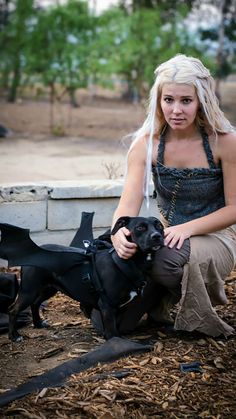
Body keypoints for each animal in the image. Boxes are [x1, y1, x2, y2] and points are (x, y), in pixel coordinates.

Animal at [0, 218, 164, 342]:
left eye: (160, 226)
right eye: (140, 227)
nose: (157, 236)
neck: (125, 262)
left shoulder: (120, 308)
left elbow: (116, 326)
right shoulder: (107, 305)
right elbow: (112, 331)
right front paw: (116, 343)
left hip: (48, 289)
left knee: (35, 304)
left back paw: (38, 323)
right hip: (29, 290)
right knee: (13, 310)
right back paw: (14, 336)